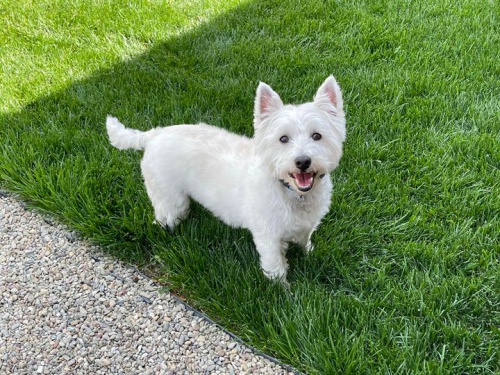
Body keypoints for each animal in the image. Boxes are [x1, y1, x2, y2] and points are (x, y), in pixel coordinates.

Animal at [107, 77, 346, 282]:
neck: (293, 193)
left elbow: (305, 241)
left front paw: (310, 254)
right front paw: (282, 290)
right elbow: (275, 265)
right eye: (283, 139)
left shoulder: (306, 225)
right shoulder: (267, 235)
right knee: (165, 217)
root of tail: (155, 134)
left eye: (317, 136)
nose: (303, 161)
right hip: (169, 197)